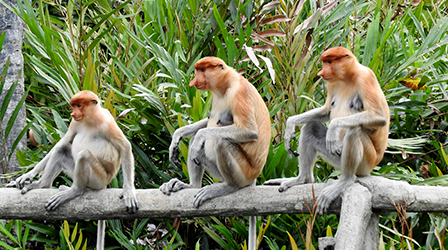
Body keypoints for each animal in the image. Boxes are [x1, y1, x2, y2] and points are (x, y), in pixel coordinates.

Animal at [7, 90, 138, 250]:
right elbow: (61, 143)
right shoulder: (75, 123)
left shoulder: (107, 122)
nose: (72, 113)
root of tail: (106, 183)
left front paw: (129, 192)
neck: (90, 118)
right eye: (73, 106)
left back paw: (73, 190)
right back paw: (41, 185)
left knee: (84, 155)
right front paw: (27, 175)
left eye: (79, 106)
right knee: (61, 149)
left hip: (99, 179)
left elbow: (125, 146)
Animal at [161, 55, 272, 249]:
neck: (225, 86)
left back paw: (228, 186)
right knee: (195, 145)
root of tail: (254, 176)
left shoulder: (238, 93)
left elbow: (249, 131)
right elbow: (206, 121)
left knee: (222, 142)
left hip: (244, 172)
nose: (194, 81)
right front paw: (177, 136)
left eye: (202, 70)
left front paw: (199, 136)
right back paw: (191, 186)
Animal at [266, 47, 388, 215]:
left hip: (366, 162)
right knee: (311, 127)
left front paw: (333, 128)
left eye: (329, 62)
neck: (347, 77)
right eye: (324, 62)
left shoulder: (366, 77)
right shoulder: (331, 84)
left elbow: (379, 116)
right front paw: (291, 124)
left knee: (354, 130)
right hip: (337, 158)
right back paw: (302, 179)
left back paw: (345, 180)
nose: (321, 73)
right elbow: (326, 111)